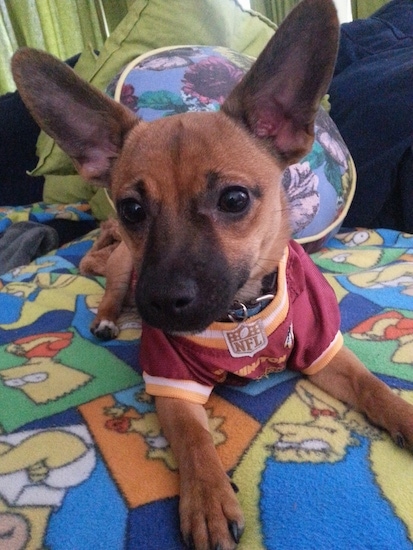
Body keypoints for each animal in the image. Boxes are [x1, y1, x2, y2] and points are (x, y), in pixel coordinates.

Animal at [11, 1, 412, 550]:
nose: (161, 302)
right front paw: (208, 499)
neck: (240, 313)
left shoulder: (325, 352)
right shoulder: (172, 385)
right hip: (124, 267)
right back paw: (109, 319)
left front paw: (404, 415)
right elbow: (195, 441)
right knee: (111, 293)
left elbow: (374, 388)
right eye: (133, 209)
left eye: (235, 200)